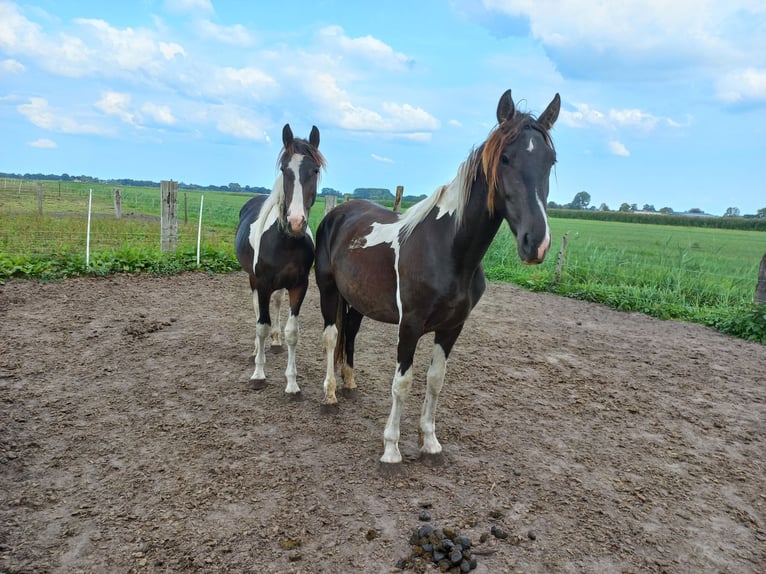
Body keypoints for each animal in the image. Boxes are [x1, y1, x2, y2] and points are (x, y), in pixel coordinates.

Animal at [237, 124, 328, 398]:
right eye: (284, 170)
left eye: (314, 170)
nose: (296, 222)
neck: (285, 241)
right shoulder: (262, 282)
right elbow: (261, 325)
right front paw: (258, 374)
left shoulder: (299, 285)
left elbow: (292, 332)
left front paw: (292, 383)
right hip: (253, 280)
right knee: (258, 311)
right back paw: (257, 350)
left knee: (276, 305)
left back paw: (275, 343)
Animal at [316, 90, 560, 474]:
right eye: (505, 158)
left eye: (551, 160)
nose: (536, 243)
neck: (448, 250)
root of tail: (338, 212)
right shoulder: (410, 325)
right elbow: (402, 383)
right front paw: (391, 449)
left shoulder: (452, 327)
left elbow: (435, 381)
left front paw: (430, 442)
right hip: (328, 290)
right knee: (331, 337)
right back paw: (329, 394)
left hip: (356, 301)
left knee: (349, 334)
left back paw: (350, 382)